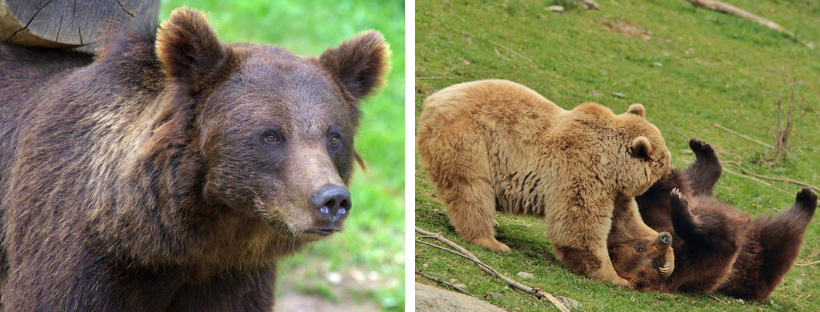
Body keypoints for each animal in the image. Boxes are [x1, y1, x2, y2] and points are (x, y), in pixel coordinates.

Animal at [416, 79, 672, 286]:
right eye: (664, 160)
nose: (671, 170)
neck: (612, 166)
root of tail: (433, 100)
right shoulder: (580, 171)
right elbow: (579, 225)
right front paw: (614, 277)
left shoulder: (613, 191)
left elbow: (626, 225)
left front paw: (667, 258)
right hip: (470, 141)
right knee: (471, 189)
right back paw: (490, 240)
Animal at [612, 139, 816, 300]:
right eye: (653, 263)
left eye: (640, 247)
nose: (663, 239)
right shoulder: (696, 268)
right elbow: (721, 245)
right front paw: (682, 209)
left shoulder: (652, 214)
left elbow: (655, 194)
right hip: (758, 260)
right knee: (784, 233)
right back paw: (806, 200)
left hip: (700, 193)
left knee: (697, 178)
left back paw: (701, 149)